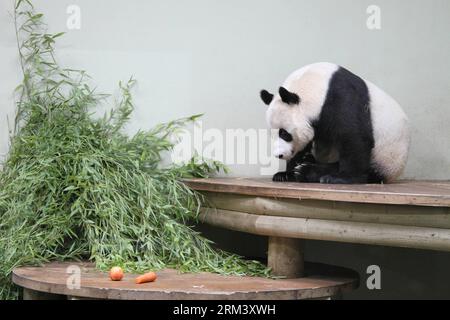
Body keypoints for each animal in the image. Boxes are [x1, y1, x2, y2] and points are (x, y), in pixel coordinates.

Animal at [260, 62, 412, 184]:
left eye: (284, 133)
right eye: (272, 135)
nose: (279, 155)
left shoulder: (341, 99)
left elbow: (354, 137)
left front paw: (344, 177)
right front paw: (285, 174)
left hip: (387, 158)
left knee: (368, 170)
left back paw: (308, 171)